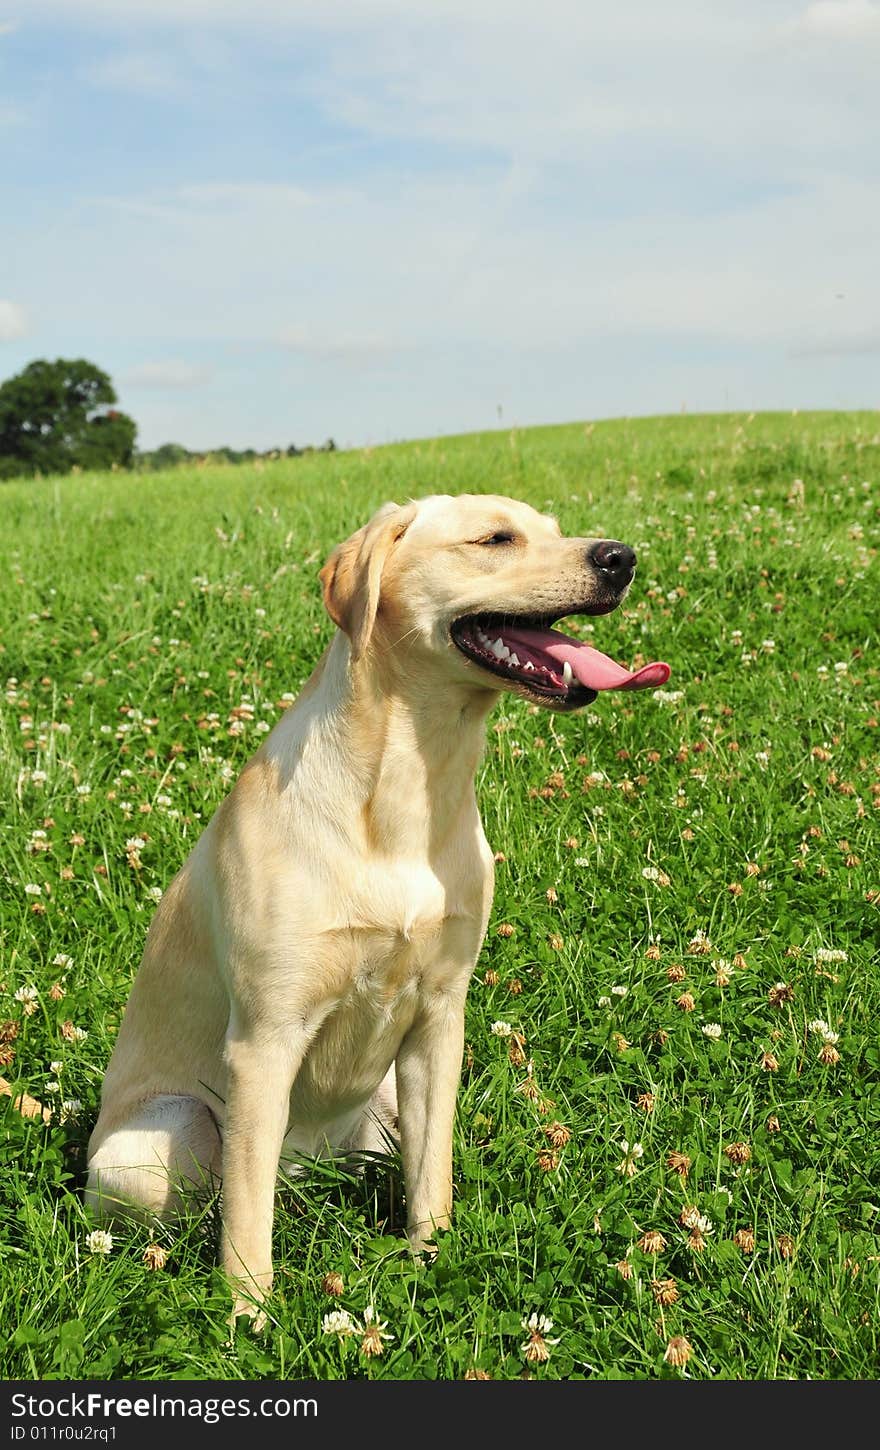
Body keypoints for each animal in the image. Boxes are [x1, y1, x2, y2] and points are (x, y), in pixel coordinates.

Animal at [87, 493, 666, 1322]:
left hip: (382, 1102)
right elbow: (246, 1224)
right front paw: (250, 1319)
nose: (622, 558)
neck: (409, 785)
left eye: (555, 530)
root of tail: (312, 1169)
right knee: (223, 1197)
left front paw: (433, 1264)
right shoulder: (265, 1040)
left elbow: (433, 1178)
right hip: (170, 1134)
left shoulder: (439, 1019)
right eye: (496, 539)